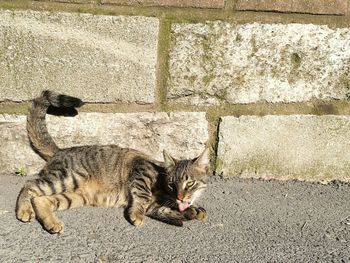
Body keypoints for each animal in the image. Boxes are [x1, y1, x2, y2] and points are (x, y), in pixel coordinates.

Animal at [15, 91, 209, 235]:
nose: (181, 196)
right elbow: (144, 198)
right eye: (172, 184)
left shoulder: (158, 205)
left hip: (74, 196)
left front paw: (192, 211)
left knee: (41, 200)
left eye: (189, 183)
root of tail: (60, 150)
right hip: (67, 178)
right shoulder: (142, 171)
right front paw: (138, 214)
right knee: (30, 185)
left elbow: (167, 209)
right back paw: (24, 210)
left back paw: (52, 223)